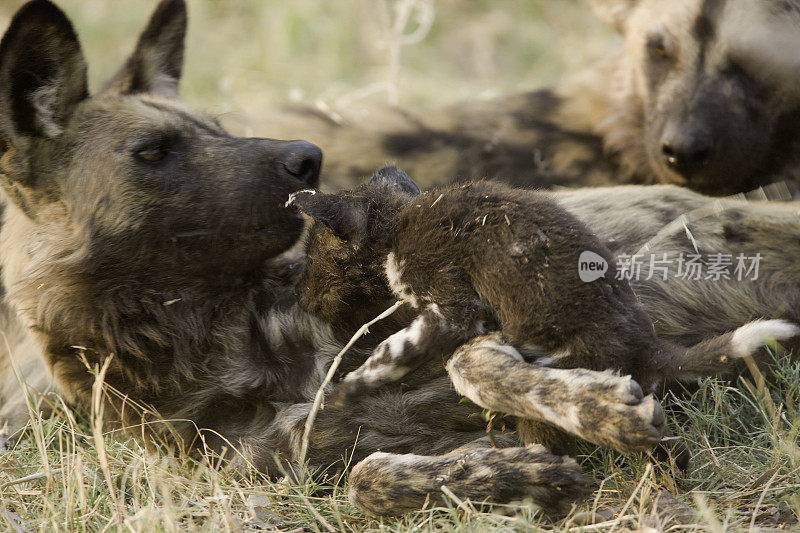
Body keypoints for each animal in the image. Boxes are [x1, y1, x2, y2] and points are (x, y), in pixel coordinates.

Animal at [284, 167, 796, 462]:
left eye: (311, 259)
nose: (297, 296)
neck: (398, 220)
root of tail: (647, 347)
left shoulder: (451, 307)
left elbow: (392, 355)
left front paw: (340, 394)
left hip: (555, 371)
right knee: (666, 444)